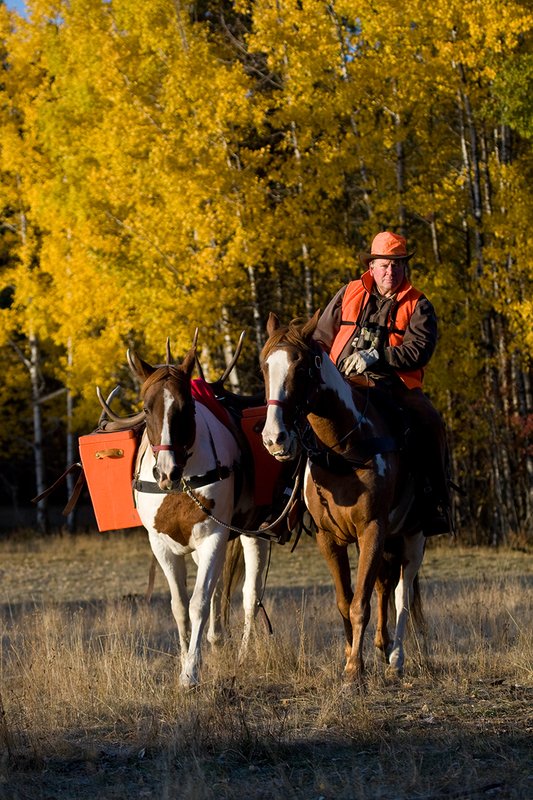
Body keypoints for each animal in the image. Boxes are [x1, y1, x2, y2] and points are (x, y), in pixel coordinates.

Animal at [99, 344, 270, 688]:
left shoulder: (214, 537)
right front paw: (185, 657)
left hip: (252, 535)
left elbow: (199, 602)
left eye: (186, 407)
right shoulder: (162, 545)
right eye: (146, 408)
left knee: (250, 595)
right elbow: (179, 607)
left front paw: (191, 671)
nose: (167, 471)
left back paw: (243, 652)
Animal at [260, 311, 426, 683]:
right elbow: (344, 601)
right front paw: (352, 655)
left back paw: (396, 658)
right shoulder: (329, 538)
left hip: (413, 536)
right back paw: (382, 646)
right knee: (385, 585)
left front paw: (354, 671)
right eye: (265, 367)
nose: (274, 439)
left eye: (301, 367)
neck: (344, 450)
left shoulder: (372, 530)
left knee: (403, 591)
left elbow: (360, 604)